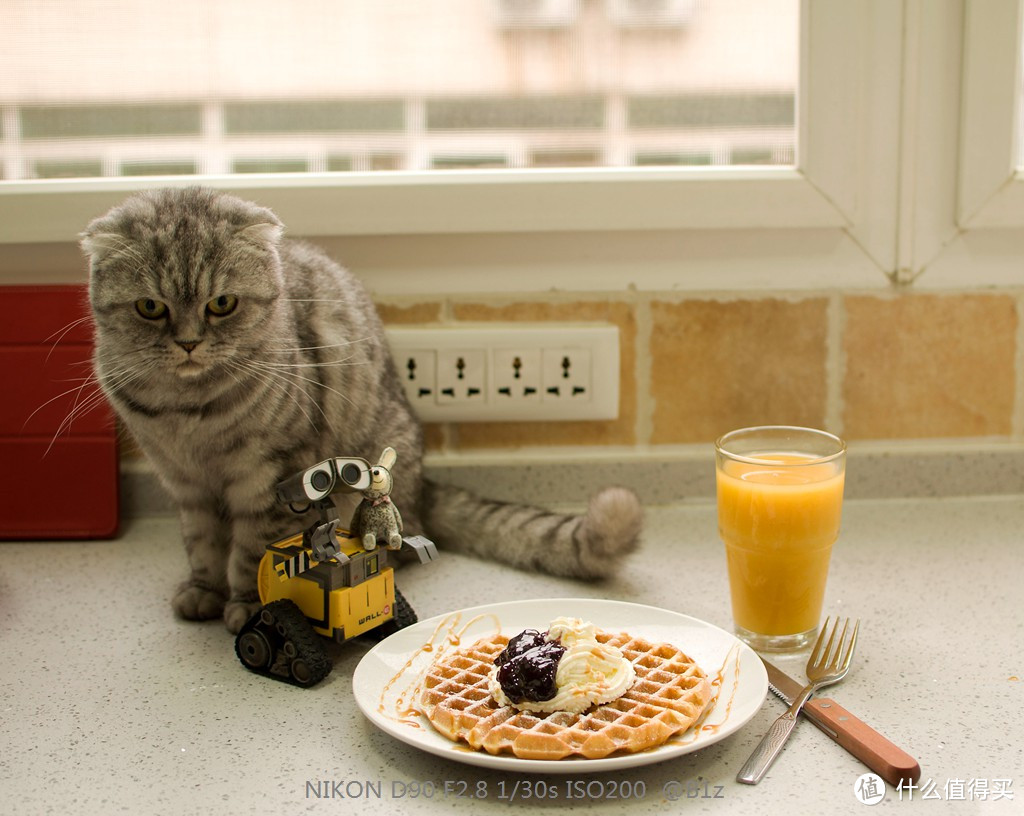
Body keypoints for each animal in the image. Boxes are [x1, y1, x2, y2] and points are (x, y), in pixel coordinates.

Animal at [81, 187, 638, 634]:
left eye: (222, 304)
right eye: (150, 308)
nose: (189, 343)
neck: (190, 412)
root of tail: (421, 481)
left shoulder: (265, 474)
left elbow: (248, 549)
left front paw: (247, 606)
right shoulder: (185, 483)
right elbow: (202, 545)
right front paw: (204, 591)